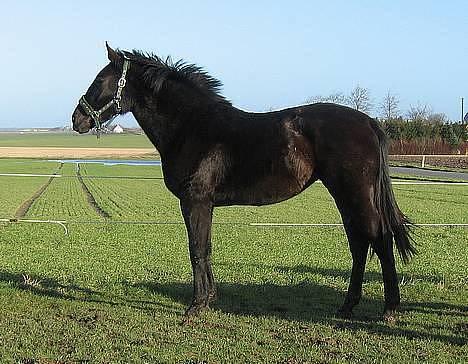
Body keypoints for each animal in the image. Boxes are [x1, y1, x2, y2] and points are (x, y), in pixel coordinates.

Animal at [71, 44, 414, 318]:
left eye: (100, 80)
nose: (78, 119)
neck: (192, 127)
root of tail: (369, 122)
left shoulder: (195, 201)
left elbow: (196, 249)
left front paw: (196, 306)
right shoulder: (205, 204)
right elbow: (206, 248)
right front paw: (210, 299)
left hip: (356, 193)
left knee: (379, 238)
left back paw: (389, 308)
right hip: (344, 196)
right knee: (359, 244)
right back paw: (348, 306)